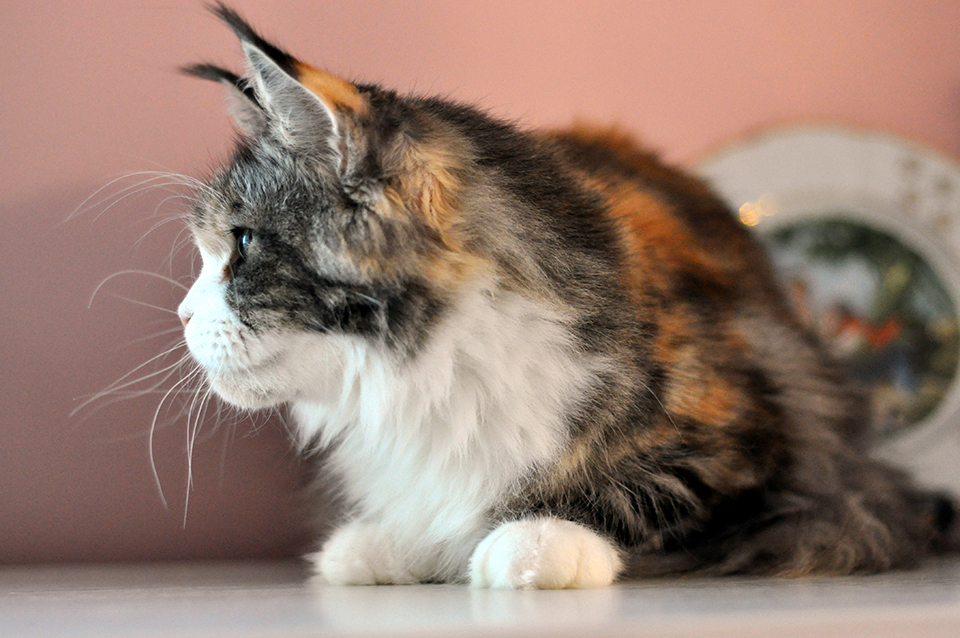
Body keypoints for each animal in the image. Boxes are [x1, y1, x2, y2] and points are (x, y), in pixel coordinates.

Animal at [176, 3, 956, 592]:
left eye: (240, 244)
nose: (182, 313)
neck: (435, 374)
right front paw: (394, 539)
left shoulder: (770, 441)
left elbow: (634, 494)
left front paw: (534, 541)